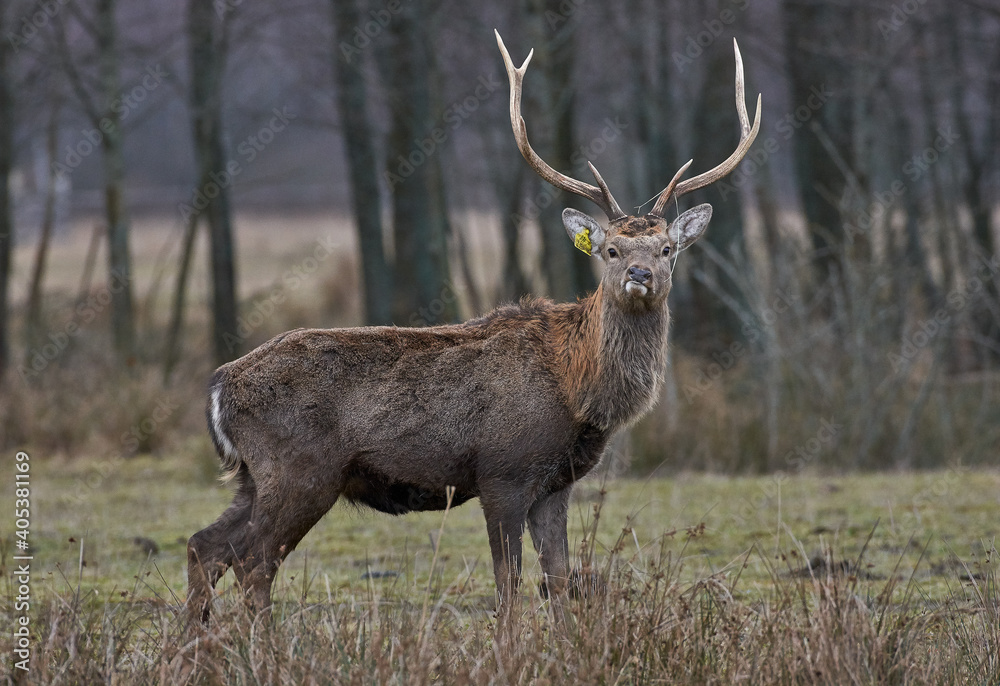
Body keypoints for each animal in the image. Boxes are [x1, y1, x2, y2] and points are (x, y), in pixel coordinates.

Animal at [186, 31, 760, 623]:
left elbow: (559, 580)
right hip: (299, 469)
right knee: (254, 560)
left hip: (253, 476)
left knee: (205, 545)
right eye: (612, 249)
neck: (576, 387)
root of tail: (220, 387)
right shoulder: (502, 470)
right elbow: (508, 583)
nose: (640, 274)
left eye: (667, 248)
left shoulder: (555, 484)